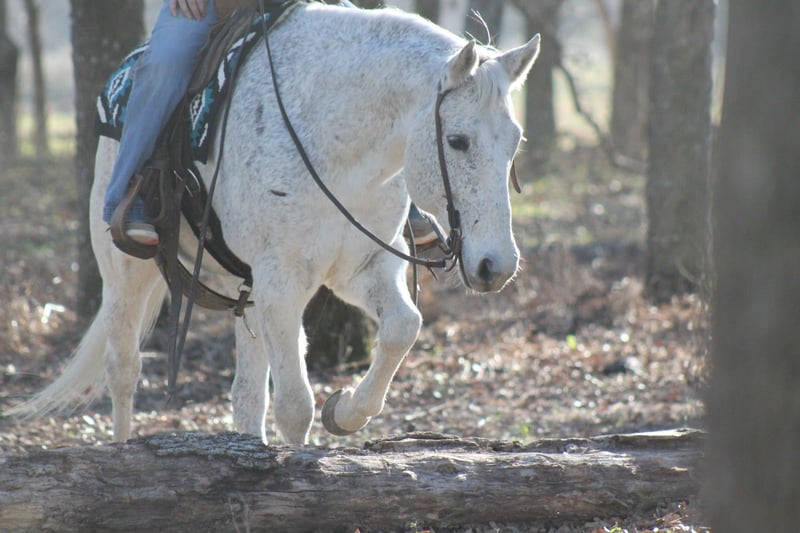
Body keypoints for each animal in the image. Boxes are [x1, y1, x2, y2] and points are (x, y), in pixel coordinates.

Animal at [10, 2, 540, 444]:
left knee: (245, 397)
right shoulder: (281, 282)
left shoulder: (360, 269)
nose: (496, 265)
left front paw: (346, 411)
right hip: (126, 269)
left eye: (515, 142)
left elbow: (402, 328)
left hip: (245, 292)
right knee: (123, 368)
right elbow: (294, 407)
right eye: (457, 140)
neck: (334, 141)